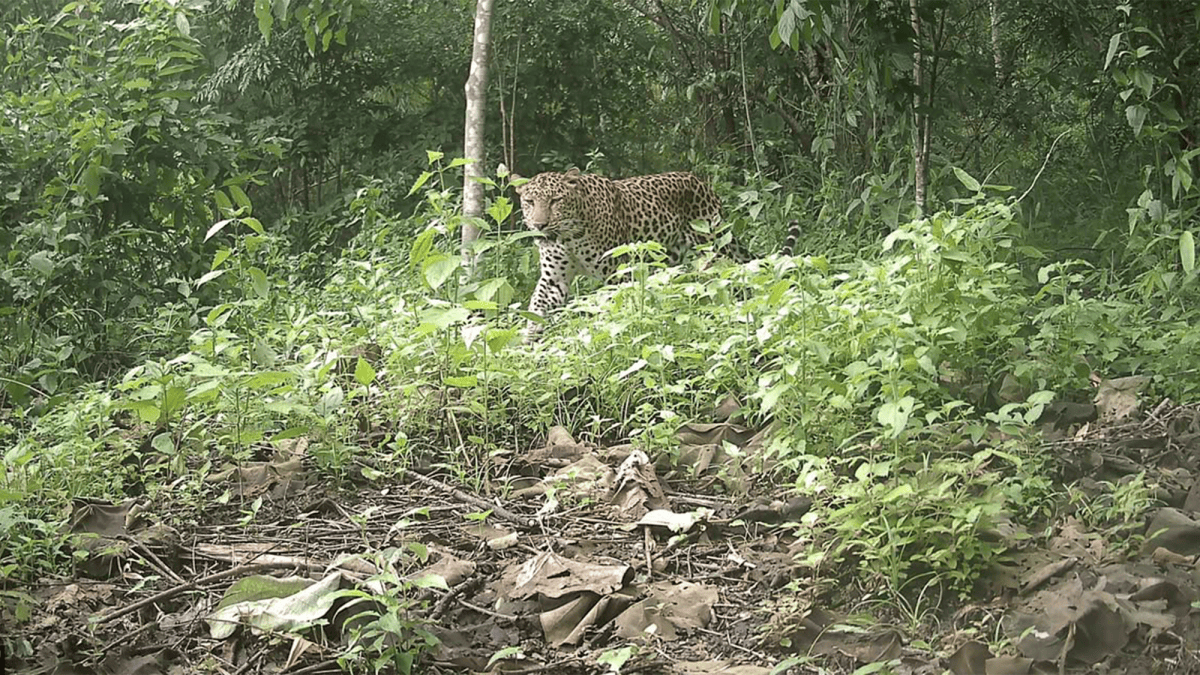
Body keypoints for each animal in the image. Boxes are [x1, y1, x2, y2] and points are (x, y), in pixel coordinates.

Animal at [511, 167, 799, 327]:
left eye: (555, 200)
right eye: (529, 201)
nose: (539, 224)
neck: (568, 236)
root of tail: (703, 183)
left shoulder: (617, 273)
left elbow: (614, 307)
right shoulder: (554, 278)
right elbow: (537, 306)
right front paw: (529, 342)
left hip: (714, 247)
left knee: (732, 276)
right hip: (667, 260)